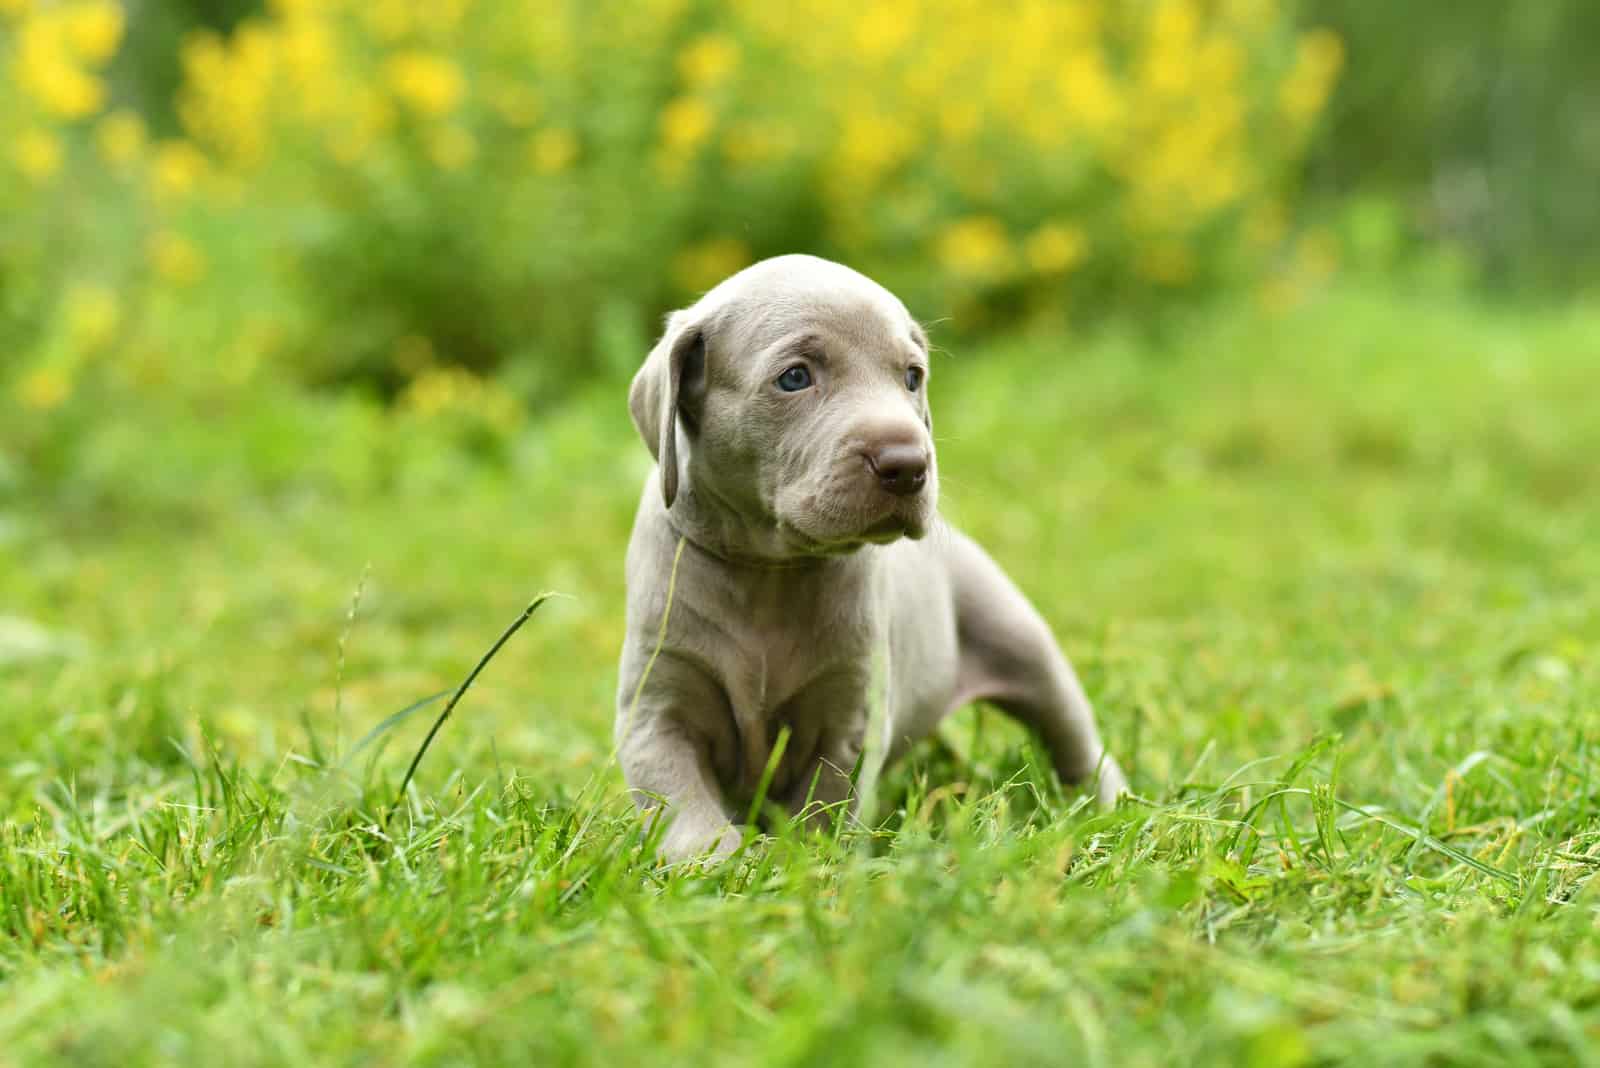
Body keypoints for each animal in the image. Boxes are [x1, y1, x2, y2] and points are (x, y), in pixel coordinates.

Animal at [611, 252, 1126, 856]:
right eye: (794, 377)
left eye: (912, 377)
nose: (909, 464)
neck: (770, 571)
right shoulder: (655, 710)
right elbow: (681, 802)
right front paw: (718, 859)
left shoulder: (850, 714)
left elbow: (826, 800)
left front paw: (807, 857)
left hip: (1020, 639)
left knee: (1074, 737)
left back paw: (1111, 803)